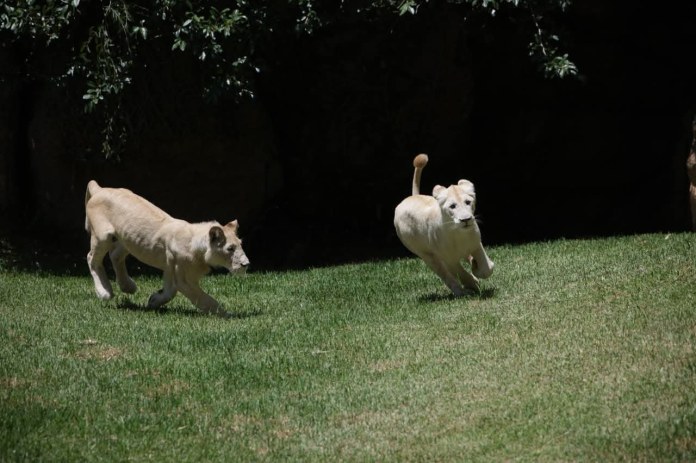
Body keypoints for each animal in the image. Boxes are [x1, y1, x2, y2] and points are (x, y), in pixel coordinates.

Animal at [84, 180, 250, 317]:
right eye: (230, 248)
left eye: (240, 244)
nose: (246, 264)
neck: (199, 247)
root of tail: (99, 189)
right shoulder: (184, 279)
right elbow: (205, 299)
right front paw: (228, 315)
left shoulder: (171, 269)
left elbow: (170, 292)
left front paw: (153, 300)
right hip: (103, 236)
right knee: (91, 258)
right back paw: (104, 292)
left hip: (127, 239)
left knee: (115, 255)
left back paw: (128, 286)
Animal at [394, 154, 494, 296]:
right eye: (452, 206)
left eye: (468, 202)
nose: (466, 219)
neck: (458, 233)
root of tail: (409, 198)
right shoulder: (448, 258)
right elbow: (459, 272)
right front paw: (472, 282)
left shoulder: (476, 244)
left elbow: (487, 268)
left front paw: (476, 267)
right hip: (426, 255)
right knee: (445, 274)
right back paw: (460, 291)